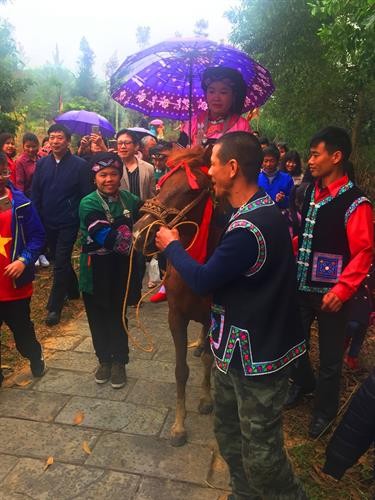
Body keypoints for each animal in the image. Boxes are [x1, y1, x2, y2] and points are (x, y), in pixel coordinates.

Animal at [134, 145, 222, 446]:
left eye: (188, 190)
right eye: (160, 186)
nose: (139, 232)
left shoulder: (213, 318)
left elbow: (209, 358)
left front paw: (206, 399)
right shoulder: (176, 317)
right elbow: (180, 371)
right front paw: (179, 425)